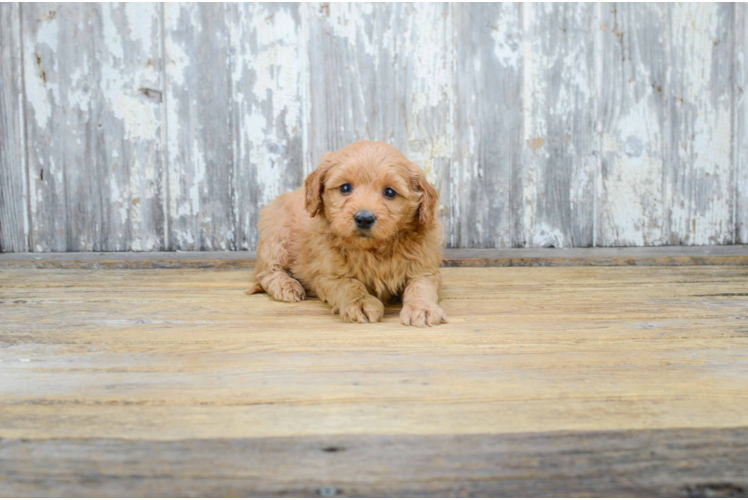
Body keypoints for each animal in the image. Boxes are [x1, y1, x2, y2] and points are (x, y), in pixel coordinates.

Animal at [247, 141, 444, 328]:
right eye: (345, 188)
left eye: (389, 192)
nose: (364, 219)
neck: (374, 250)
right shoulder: (328, 275)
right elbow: (349, 284)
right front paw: (361, 303)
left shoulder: (424, 267)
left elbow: (420, 286)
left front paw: (422, 308)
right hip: (276, 236)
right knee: (268, 272)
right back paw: (287, 286)